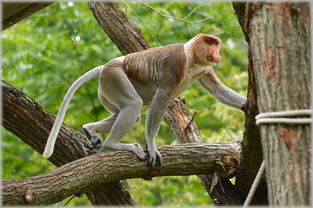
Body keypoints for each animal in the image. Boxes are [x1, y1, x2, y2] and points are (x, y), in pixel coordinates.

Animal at [42, 34, 245, 167]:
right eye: (210, 43)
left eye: (216, 44)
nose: (217, 53)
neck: (191, 56)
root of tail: (105, 66)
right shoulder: (175, 62)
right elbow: (161, 98)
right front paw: (152, 145)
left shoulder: (205, 69)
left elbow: (217, 90)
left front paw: (246, 105)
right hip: (114, 77)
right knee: (133, 105)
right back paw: (112, 143)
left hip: (106, 89)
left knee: (125, 113)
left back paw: (89, 129)